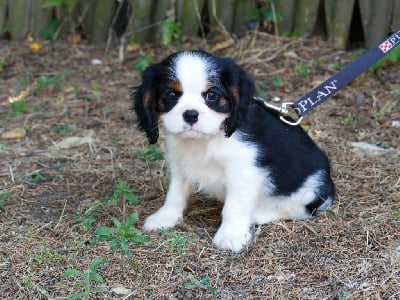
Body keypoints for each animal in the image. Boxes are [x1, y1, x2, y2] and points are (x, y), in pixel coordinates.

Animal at [132, 50, 334, 252]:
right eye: (170, 93)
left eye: (212, 94)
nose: (190, 114)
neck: (208, 138)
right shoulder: (180, 164)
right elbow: (175, 193)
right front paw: (165, 217)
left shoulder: (245, 172)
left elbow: (234, 206)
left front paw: (231, 235)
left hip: (313, 186)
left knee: (302, 208)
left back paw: (260, 212)